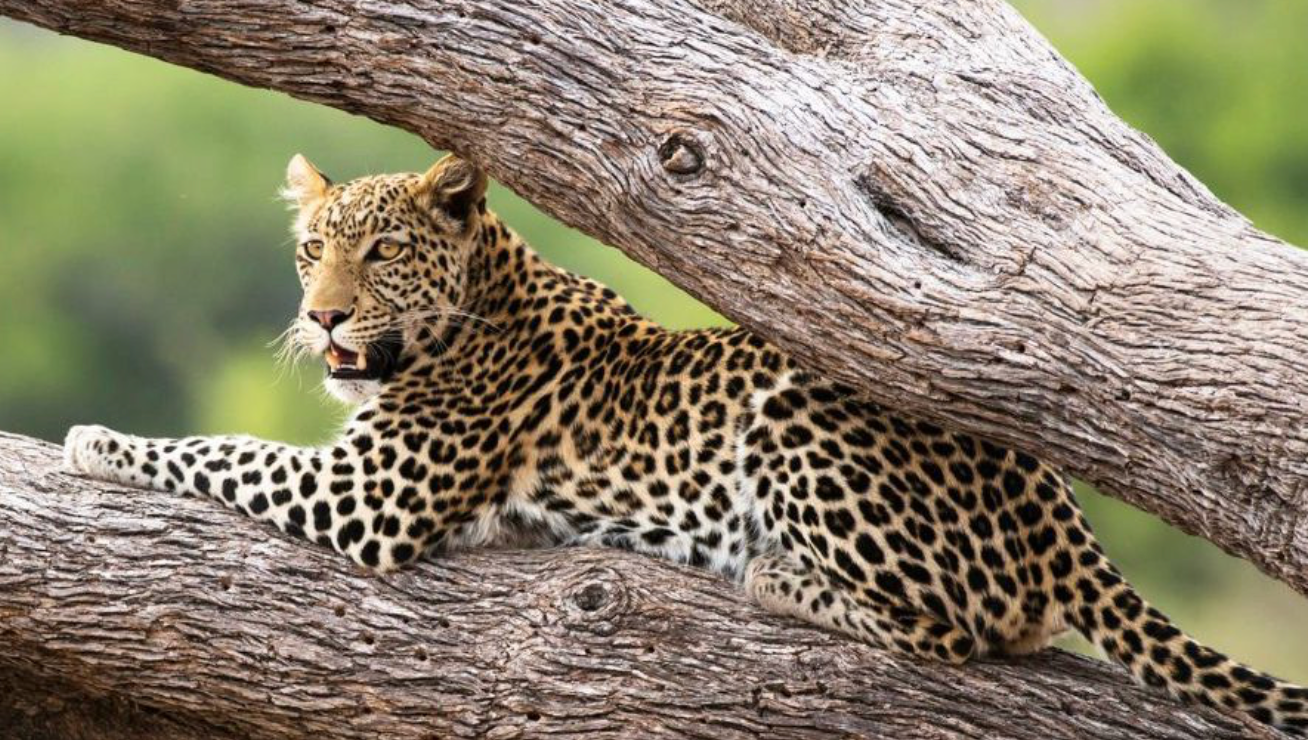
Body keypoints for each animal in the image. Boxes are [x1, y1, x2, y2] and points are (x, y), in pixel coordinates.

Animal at [65, 153, 1308, 734]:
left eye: (380, 253)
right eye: (311, 248)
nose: (321, 317)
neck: (474, 300)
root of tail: (1060, 509)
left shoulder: (371, 498)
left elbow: (222, 447)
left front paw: (90, 437)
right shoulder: (359, 478)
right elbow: (231, 443)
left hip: (801, 411)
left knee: (966, 629)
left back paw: (776, 573)